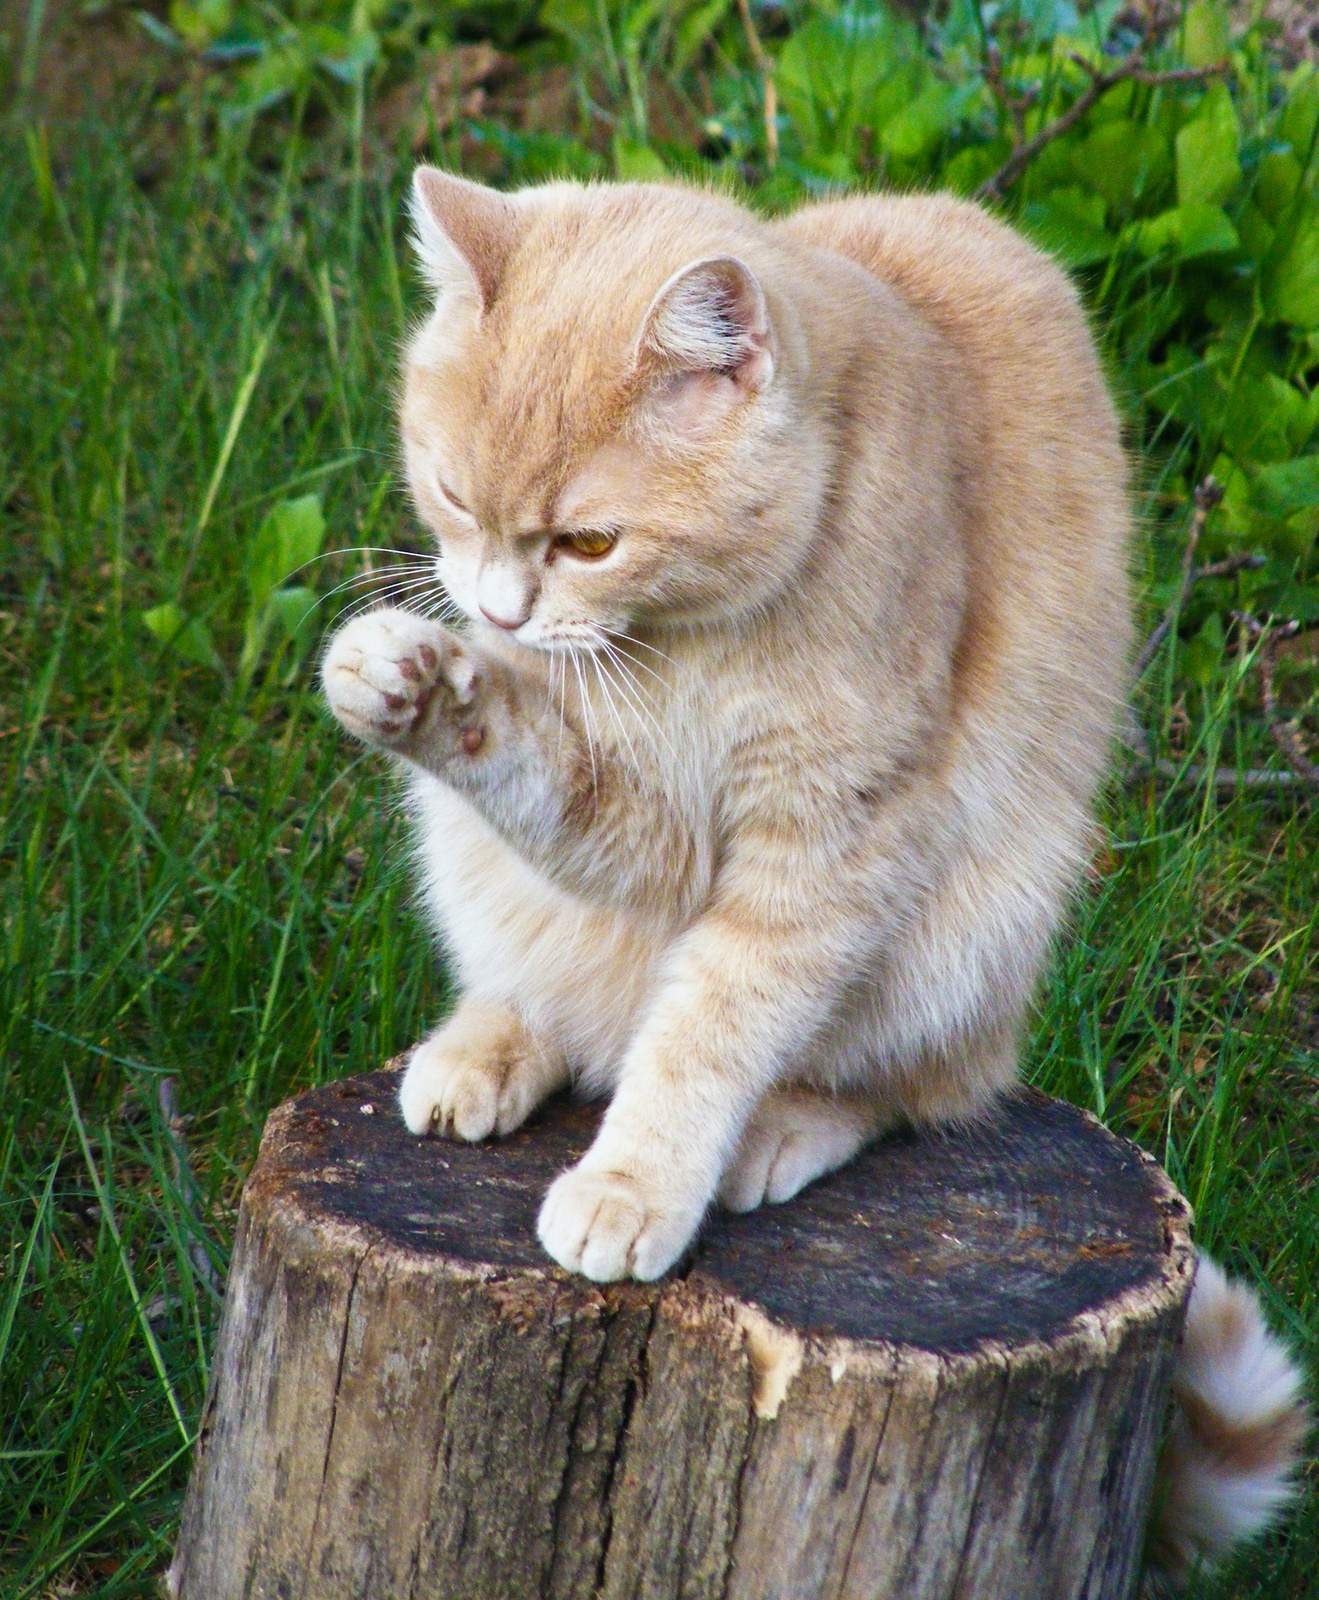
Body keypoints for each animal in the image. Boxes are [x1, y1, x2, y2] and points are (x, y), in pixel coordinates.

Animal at [321, 168, 1306, 1568]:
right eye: (454, 497)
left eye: (586, 541)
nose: (498, 612)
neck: (691, 638)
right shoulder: (632, 810)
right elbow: (525, 753)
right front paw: (414, 680)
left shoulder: (818, 850)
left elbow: (708, 1034)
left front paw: (635, 1181)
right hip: (471, 858)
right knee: (565, 1001)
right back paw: (490, 1043)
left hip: (972, 933)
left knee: (914, 1084)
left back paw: (781, 1125)